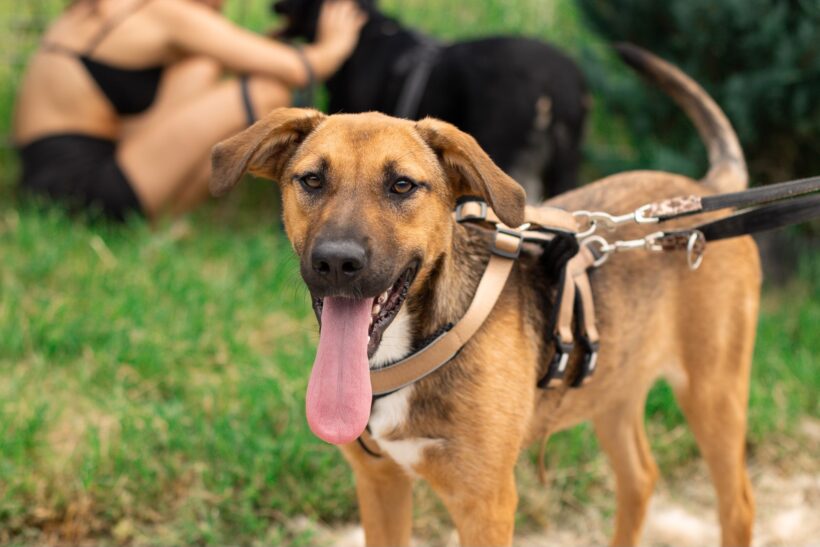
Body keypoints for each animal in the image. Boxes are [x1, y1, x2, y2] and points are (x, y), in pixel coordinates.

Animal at [210, 44, 759, 547]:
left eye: (402, 185)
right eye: (311, 179)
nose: (337, 263)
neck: (413, 346)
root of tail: (703, 189)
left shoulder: (486, 503)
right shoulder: (379, 483)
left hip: (713, 391)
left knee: (737, 503)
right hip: (614, 383)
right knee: (640, 479)